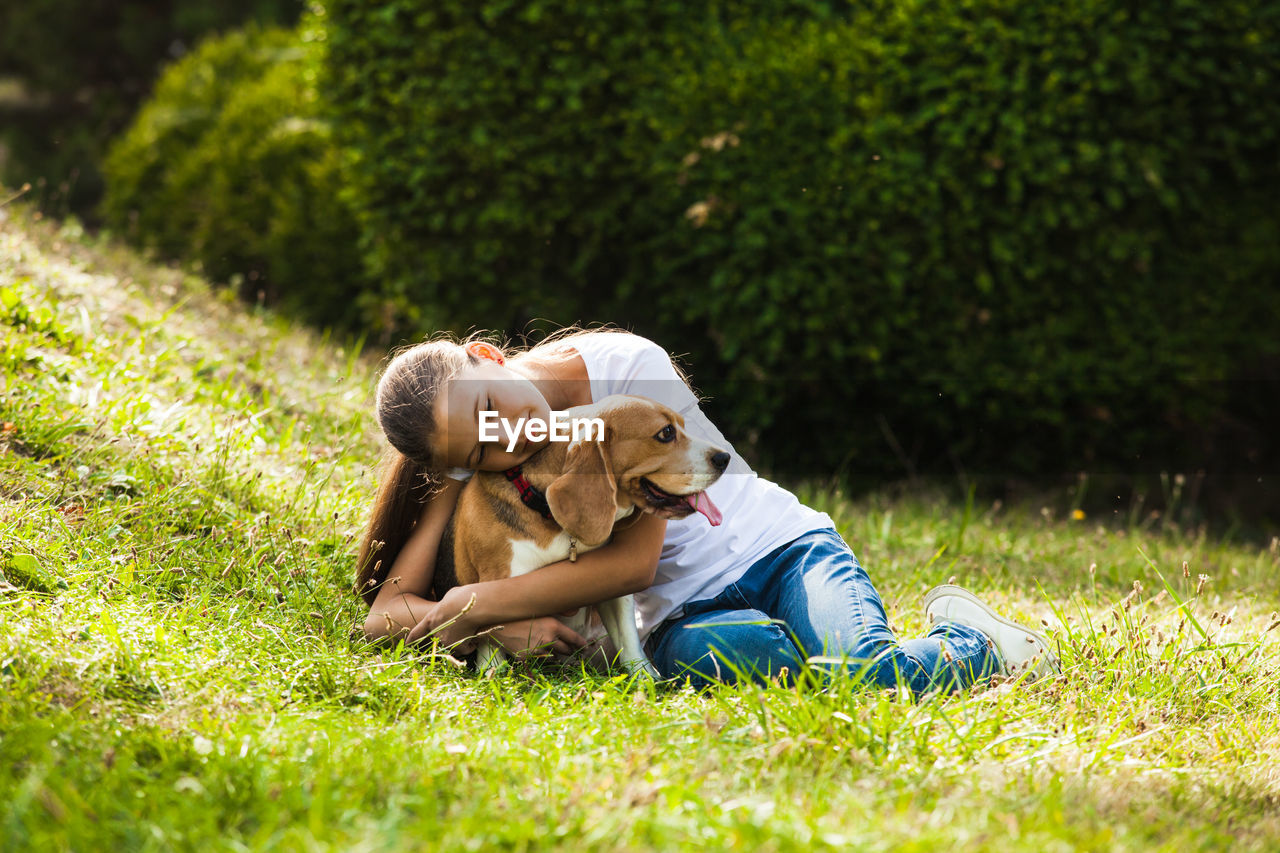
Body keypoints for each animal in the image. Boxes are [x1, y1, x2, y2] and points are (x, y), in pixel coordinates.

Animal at [432, 394, 727, 676]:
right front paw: (493, 672)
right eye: (666, 433)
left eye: (682, 425)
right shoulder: (493, 579)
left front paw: (646, 679)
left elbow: (629, 640)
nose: (724, 458)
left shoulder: (612, 585)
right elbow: (488, 633)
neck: (547, 514)